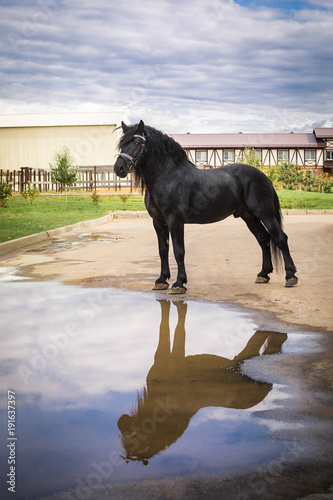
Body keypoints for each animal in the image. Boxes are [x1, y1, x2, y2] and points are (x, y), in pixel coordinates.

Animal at [113, 120, 296, 292]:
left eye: (137, 142)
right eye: (122, 144)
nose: (119, 168)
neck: (167, 177)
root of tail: (264, 176)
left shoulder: (175, 221)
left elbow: (179, 251)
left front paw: (179, 283)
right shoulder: (158, 222)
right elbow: (163, 250)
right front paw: (161, 280)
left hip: (265, 214)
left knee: (280, 238)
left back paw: (290, 276)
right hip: (248, 216)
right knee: (263, 239)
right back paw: (263, 274)